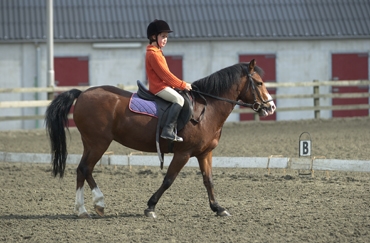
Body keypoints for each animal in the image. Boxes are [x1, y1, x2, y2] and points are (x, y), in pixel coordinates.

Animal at [44, 58, 274, 218]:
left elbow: (208, 181)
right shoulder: (183, 153)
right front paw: (150, 207)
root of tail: (83, 94)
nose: (271, 107)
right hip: (98, 143)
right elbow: (168, 180)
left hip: (92, 144)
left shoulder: (204, 153)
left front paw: (218, 208)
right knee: (85, 168)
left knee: (82, 170)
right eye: (259, 83)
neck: (208, 108)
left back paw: (83, 209)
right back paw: (97, 204)